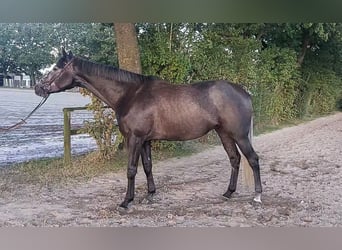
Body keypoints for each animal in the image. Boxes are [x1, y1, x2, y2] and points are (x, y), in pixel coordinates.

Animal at [34, 49, 262, 209]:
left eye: (55, 68)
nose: (38, 87)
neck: (131, 94)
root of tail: (245, 92)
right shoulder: (145, 140)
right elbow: (147, 166)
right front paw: (150, 194)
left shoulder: (134, 138)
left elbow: (131, 169)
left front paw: (126, 201)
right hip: (224, 133)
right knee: (235, 159)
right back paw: (228, 193)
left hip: (239, 135)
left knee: (252, 159)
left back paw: (257, 196)